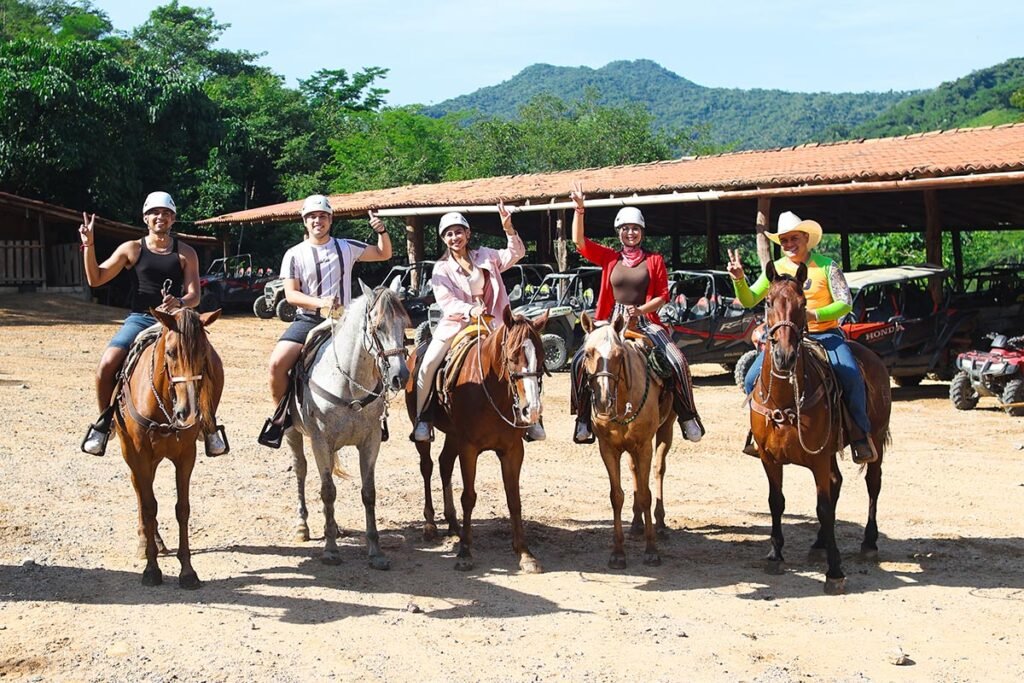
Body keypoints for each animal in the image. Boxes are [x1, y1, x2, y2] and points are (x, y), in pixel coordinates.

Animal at [113, 307, 223, 589]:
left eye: (204, 353)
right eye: (171, 352)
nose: (188, 412)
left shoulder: (186, 456)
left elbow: (182, 509)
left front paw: (188, 571)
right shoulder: (139, 454)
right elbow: (149, 506)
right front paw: (152, 569)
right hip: (130, 452)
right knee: (140, 493)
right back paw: (145, 543)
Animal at [286, 280, 409, 569]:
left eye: (404, 324)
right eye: (378, 326)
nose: (400, 376)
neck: (349, 384)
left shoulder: (370, 442)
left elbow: (368, 493)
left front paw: (375, 551)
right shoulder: (320, 441)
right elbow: (328, 491)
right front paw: (331, 550)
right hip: (292, 433)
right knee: (301, 470)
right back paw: (303, 526)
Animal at [407, 305, 552, 573]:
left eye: (541, 355)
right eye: (512, 356)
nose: (532, 410)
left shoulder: (513, 450)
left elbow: (514, 498)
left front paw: (525, 553)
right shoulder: (469, 448)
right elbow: (469, 497)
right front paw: (465, 552)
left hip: (453, 435)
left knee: (444, 464)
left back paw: (453, 523)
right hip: (425, 433)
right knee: (427, 466)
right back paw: (430, 524)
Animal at [581, 313, 675, 569]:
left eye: (619, 355)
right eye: (588, 353)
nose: (603, 400)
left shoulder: (644, 446)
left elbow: (645, 494)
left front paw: (651, 551)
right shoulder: (607, 448)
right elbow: (617, 496)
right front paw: (618, 553)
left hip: (666, 430)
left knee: (659, 470)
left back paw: (660, 524)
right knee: (634, 471)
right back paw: (635, 524)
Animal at [749, 262, 892, 593]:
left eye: (802, 304)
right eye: (767, 302)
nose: (784, 356)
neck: (786, 399)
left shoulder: (817, 458)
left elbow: (823, 508)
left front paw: (835, 571)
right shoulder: (769, 458)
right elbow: (776, 502)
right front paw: (775, 555)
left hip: (875, 440)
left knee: (873, 484)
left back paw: (869, 543)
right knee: (837, 482)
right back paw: (819, 544)